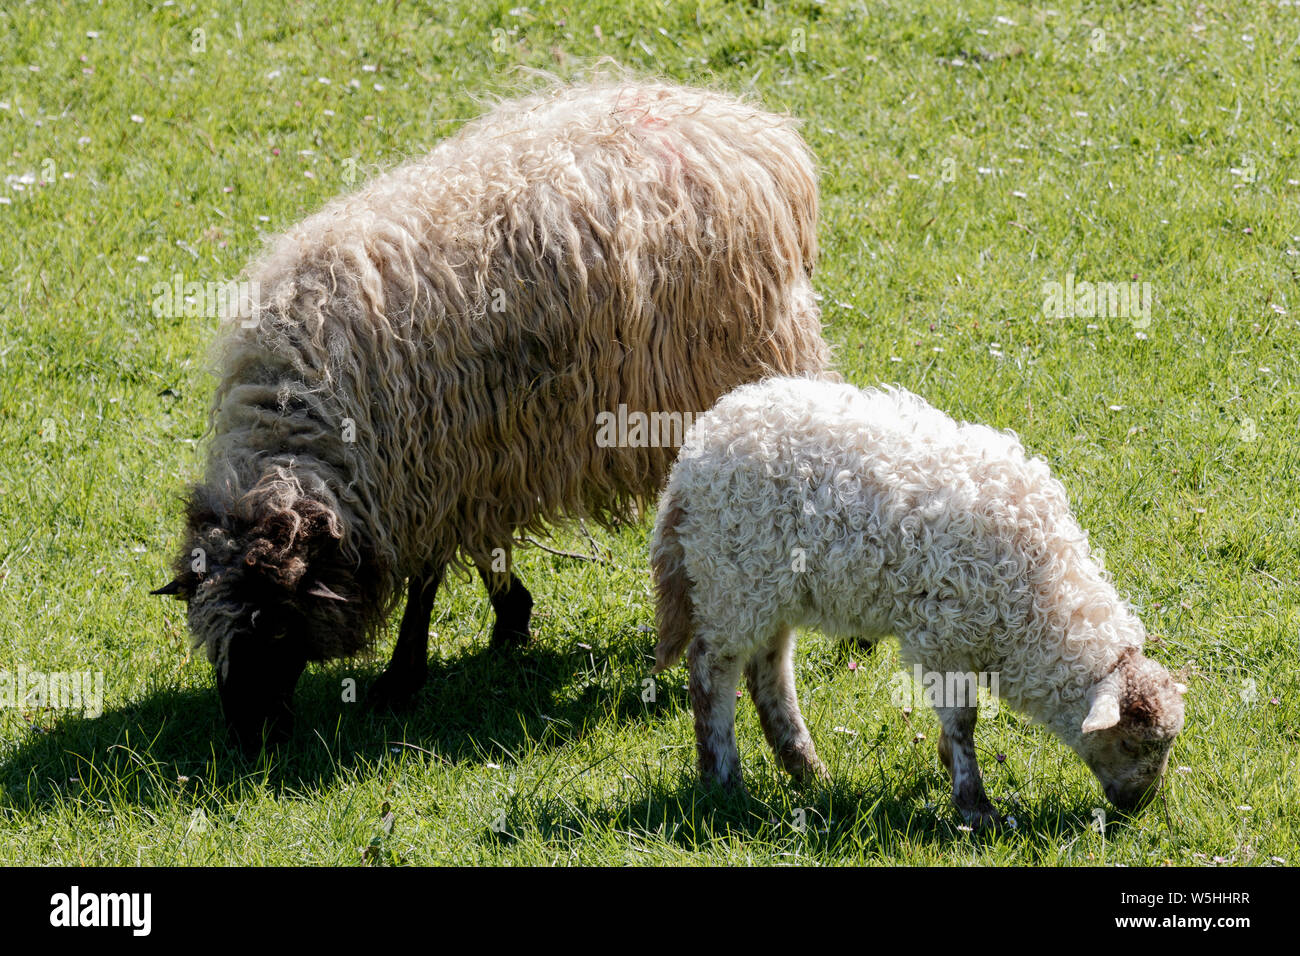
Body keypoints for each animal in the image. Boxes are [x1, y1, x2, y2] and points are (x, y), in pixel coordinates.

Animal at [150, 78, 832, 754]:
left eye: (276, 627)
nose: (248, 741)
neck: (306, 423)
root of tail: (748, 130)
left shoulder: (429, 466)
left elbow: (427, 577)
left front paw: (402, 677)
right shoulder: (472, 458)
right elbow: (482, 548)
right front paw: (511, 618)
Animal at [651, 377, 1186, 825]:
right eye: (1131, 742)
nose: (1140, 806)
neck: (1039, 603)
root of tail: (694, 453)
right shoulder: (943, 637)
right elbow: (963, 722)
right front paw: (975, 807)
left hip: (772, 587)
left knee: (768, 672)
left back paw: (807, 769)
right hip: (733, 578)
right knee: (711, 670)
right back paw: (723, 781)